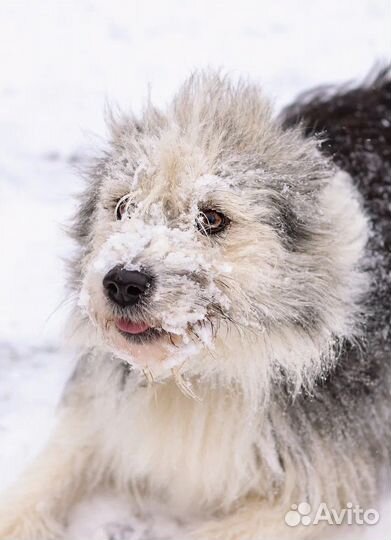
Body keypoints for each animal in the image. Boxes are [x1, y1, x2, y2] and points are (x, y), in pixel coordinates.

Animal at [0, 70, 390, 540]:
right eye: (123, 206)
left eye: (212, 218)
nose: (123, 282)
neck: (202, 374)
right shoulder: (102, 416)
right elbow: (47, 474)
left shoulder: (313, 486)